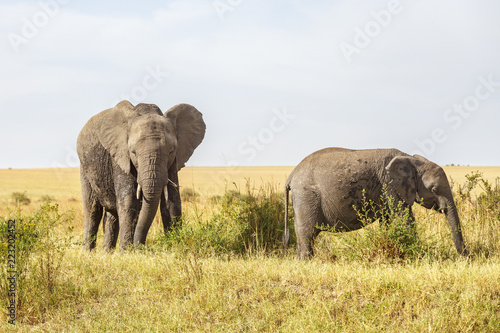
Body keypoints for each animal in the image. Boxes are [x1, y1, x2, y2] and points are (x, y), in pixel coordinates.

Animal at [76, 100, 205, 250]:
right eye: (133, 152)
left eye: (171, 151)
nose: (141, 247)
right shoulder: (120, 157)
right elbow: (130, 200)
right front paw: (128, 252)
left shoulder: (173, 162)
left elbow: (172, 200)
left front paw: (175, 245)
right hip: (84, 167)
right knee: (92, 211)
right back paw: (87, 252)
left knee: (112, 214)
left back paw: (106, 252)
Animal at [284, 148, 470, 260]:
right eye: (434, 189)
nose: (467, 257)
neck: (411, 159)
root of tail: (291, 175)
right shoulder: (390, 184)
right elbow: (404, 218)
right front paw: (419, 255)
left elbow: (387, 221)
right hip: (306, 195)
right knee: (308, 231)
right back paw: (307, 261)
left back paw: (300, 261)